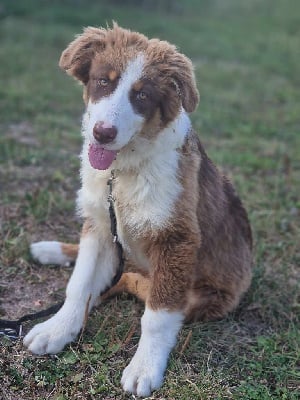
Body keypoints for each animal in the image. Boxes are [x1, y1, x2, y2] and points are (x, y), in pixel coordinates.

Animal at [24, 24, 253, 396]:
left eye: (142, 96)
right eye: (103, 82)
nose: (103, 133)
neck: (122, 172)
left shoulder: (176, 242)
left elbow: (156, 317)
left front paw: (144, 367)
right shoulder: (102, 224)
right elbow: (79, 284)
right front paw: (57, 329)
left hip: (205, 297)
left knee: (129, 283)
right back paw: (50, 250)